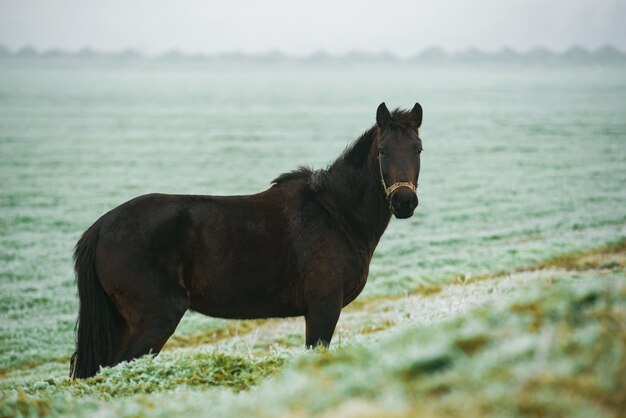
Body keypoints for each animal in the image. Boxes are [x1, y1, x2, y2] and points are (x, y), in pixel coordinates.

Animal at [70, 102, 422, 378]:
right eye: (382, 150)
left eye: (417, 149)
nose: (404, 201)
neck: (336, 213)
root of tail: (99, 228)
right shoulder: (323, 307)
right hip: (155, 319)